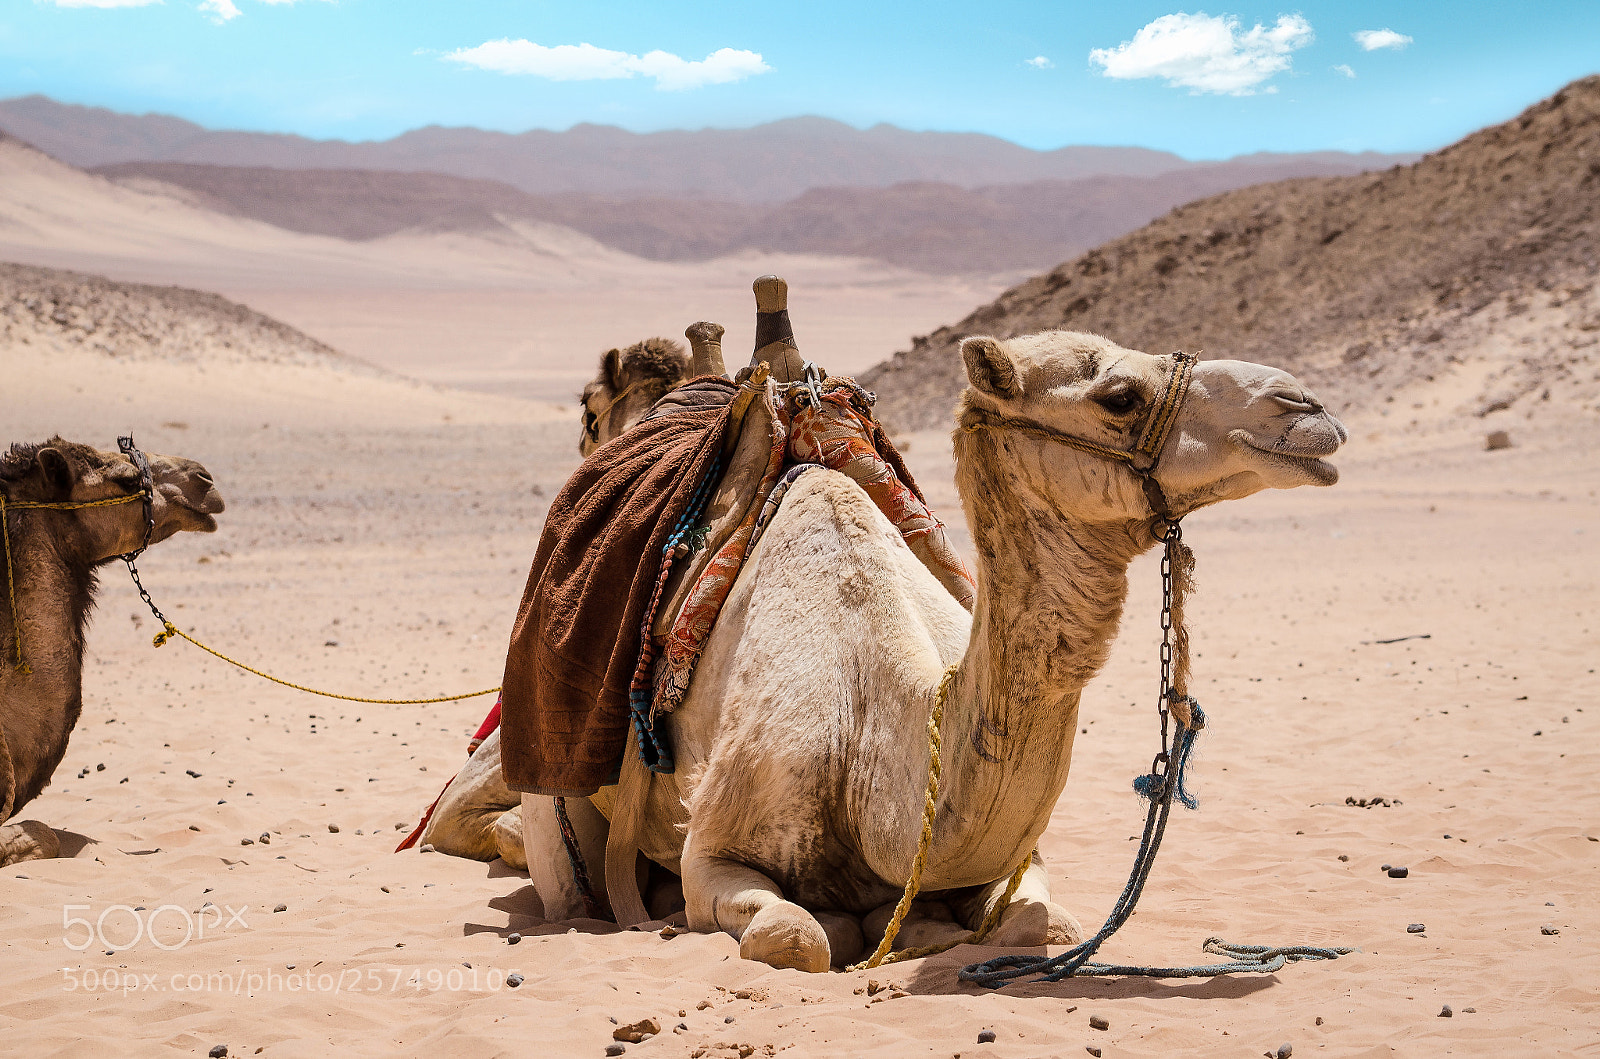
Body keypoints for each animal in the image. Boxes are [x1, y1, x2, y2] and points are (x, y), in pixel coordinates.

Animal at [518, 329, 1347, 970]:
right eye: (1119, 396)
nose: (1307, 409)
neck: (865, 720)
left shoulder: (1017, 860)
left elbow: (1037, 921)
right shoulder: (712, 853)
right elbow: (797, 937)